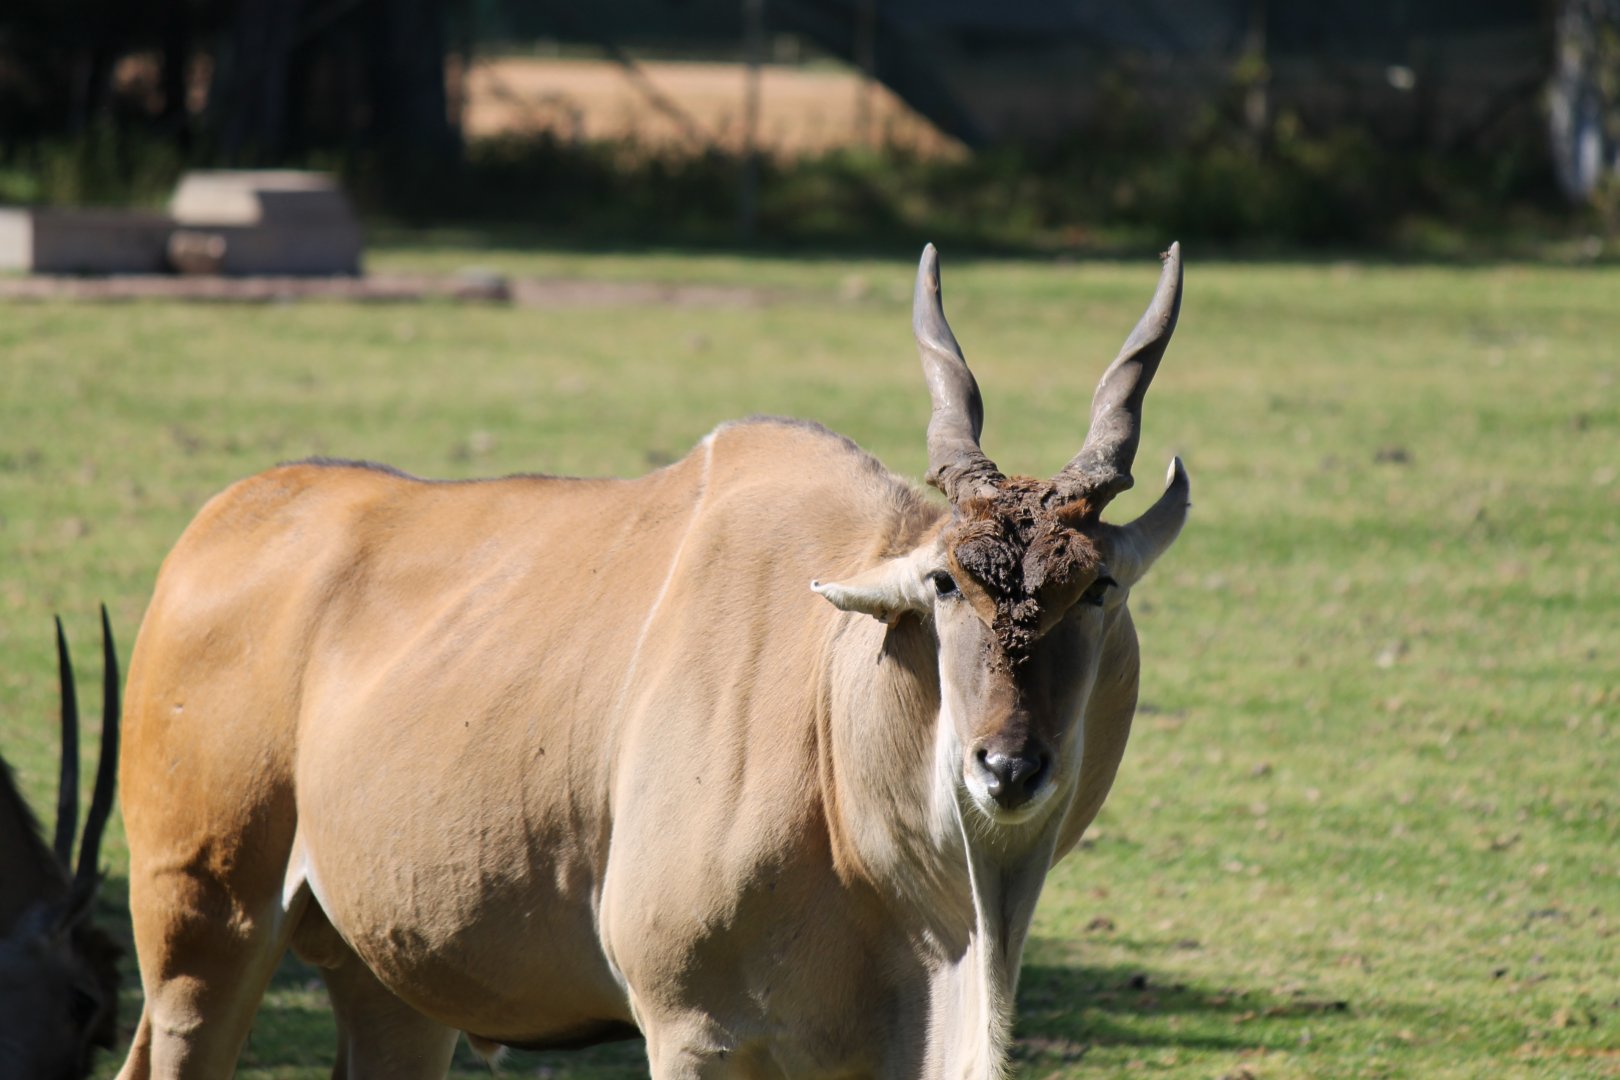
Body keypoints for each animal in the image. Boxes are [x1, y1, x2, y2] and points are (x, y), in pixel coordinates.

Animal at [115, 244, 1189, 1080]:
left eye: (1099, 587)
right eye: (944, 585)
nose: (1007, 767)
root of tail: (219, 524)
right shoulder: (692, 1030)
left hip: (390, 982)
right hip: (200, 931)